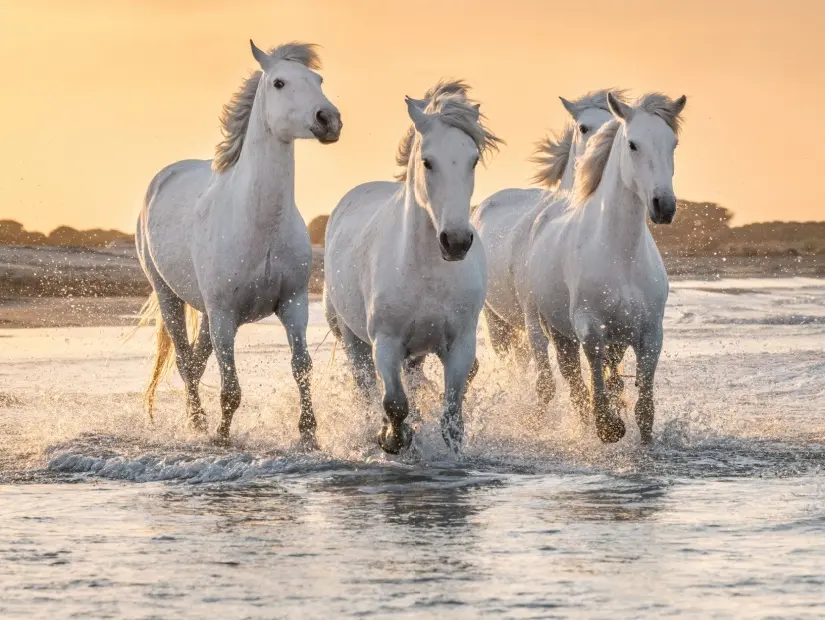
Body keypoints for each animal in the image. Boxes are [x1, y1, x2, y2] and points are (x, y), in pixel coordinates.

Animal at [135, 41, 342, 444]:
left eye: (319, 80)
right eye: (279, 82)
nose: (329, 120)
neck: (259, 225)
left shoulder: (293, 305)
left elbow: (301, 367)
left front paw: (308, 436)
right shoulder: (225, 316)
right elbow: (230, 387)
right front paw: (221, 437)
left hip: (205, 311)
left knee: (196, 362)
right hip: (170, 297)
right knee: (184, 360)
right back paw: (198, 424)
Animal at [324, 80, 502, 452]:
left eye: (473, 160)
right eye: (427, 162)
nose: (456, 242)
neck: (427, 271)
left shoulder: (460, 344)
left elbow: (452, 411)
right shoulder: (386, 342)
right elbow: (394, 402)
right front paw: (393, 438)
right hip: (353, 340)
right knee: (366, 388)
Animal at [524, 92, 684, 444]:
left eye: (673, 143)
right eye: (633, 144)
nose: (664, 206)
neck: (621, 255)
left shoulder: (650, 332)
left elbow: (644, 405)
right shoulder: (588, 326)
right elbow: (594, 373)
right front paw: (608, 426)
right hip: (555, 331)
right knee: (573, 380)